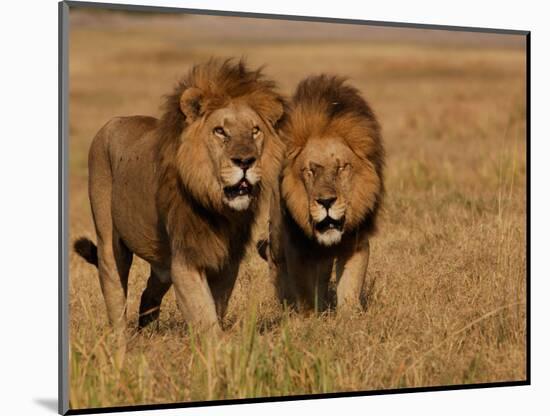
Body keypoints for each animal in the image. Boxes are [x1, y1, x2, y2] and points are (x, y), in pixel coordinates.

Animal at [74, 59, 286, 334]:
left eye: (255, 131)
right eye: (220, 131)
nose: (245, 161)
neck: (217, 207)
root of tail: (115, 120)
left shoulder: (227, 260)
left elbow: (216, 308)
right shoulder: (185, 259)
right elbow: (204, 316)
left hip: (161, 262)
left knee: (149, 294)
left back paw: (147, 333)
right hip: (109, 241)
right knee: (115, 293)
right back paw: (122, 339)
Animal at [258, 75, 384, 314]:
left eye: (342, 167)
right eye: (310, 170)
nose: (326, 202)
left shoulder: (356, 241)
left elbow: (351, 285)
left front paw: (349, 316)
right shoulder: (296, 245)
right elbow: (304, 289)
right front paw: (309, 317)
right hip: (276, 235)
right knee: (274, 261)